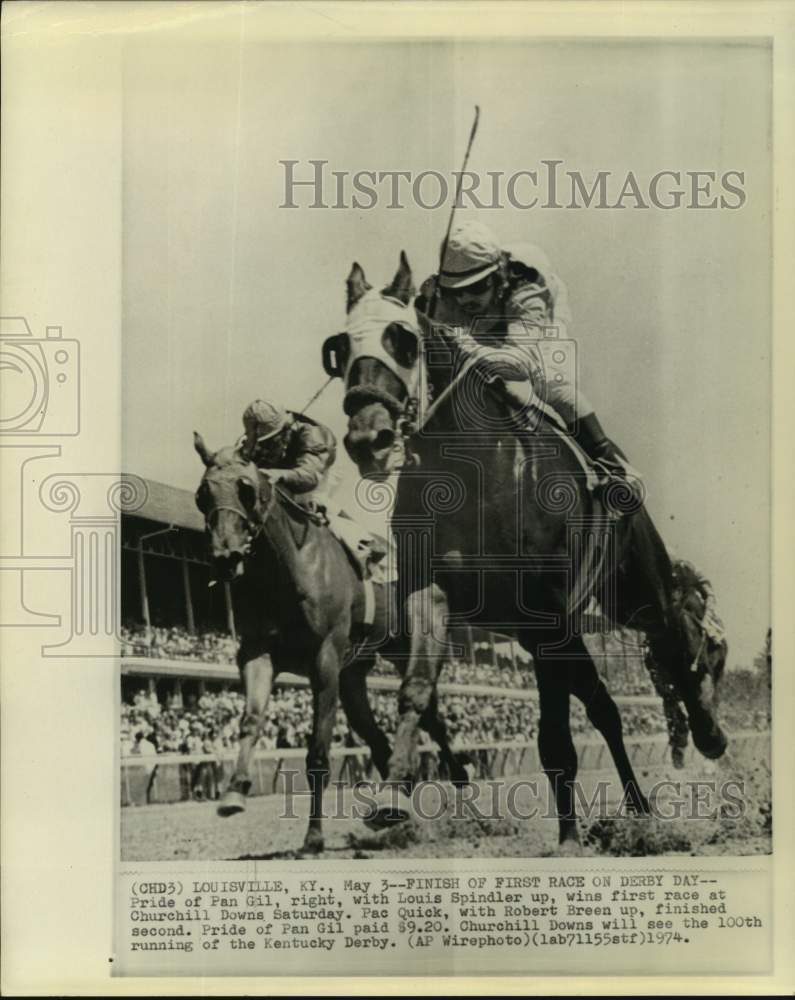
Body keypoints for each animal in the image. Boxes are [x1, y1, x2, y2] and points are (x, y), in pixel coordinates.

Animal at [193, 432, 466, 852]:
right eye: (202, 494)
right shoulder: (257, 654)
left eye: (246, 489)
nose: (226, 556)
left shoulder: (324, 661)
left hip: (404, 649)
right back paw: (396, 804)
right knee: (375, 738)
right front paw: (234, 792)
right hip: (354, 675)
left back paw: (456, 784)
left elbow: (318, 752)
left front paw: (314, 836)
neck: (288, 570)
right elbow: (251, 720)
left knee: (432, 718)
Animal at [328, 252, 728, 852]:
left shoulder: (546, 612)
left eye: (402, 339)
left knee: (678, 635)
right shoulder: (433, 591)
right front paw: (394, 795)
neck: (474, 474)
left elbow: (555, 733)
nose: (366, 438)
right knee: (606, 706)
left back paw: (708, 730)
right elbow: (415, 690)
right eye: (340, 348)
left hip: (632, 592)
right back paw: (638, 807)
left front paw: (568, 839)